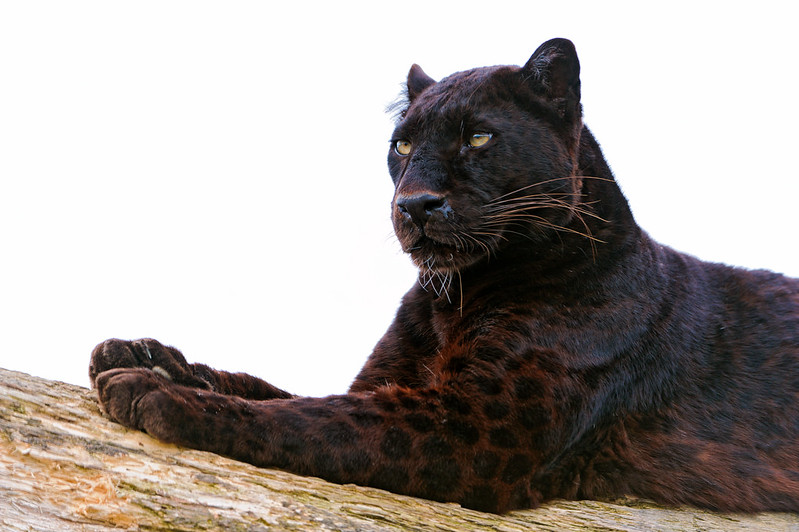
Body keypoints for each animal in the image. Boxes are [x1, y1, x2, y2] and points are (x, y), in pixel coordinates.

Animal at [89, 38, 799, 514]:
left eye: (478, 137)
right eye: (402, 144)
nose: (416, 203)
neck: (453, 298)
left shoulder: (474, 426)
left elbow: (316, 419)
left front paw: (155, 393)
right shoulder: (394, 382)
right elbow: (274, 391)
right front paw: (145, 357)